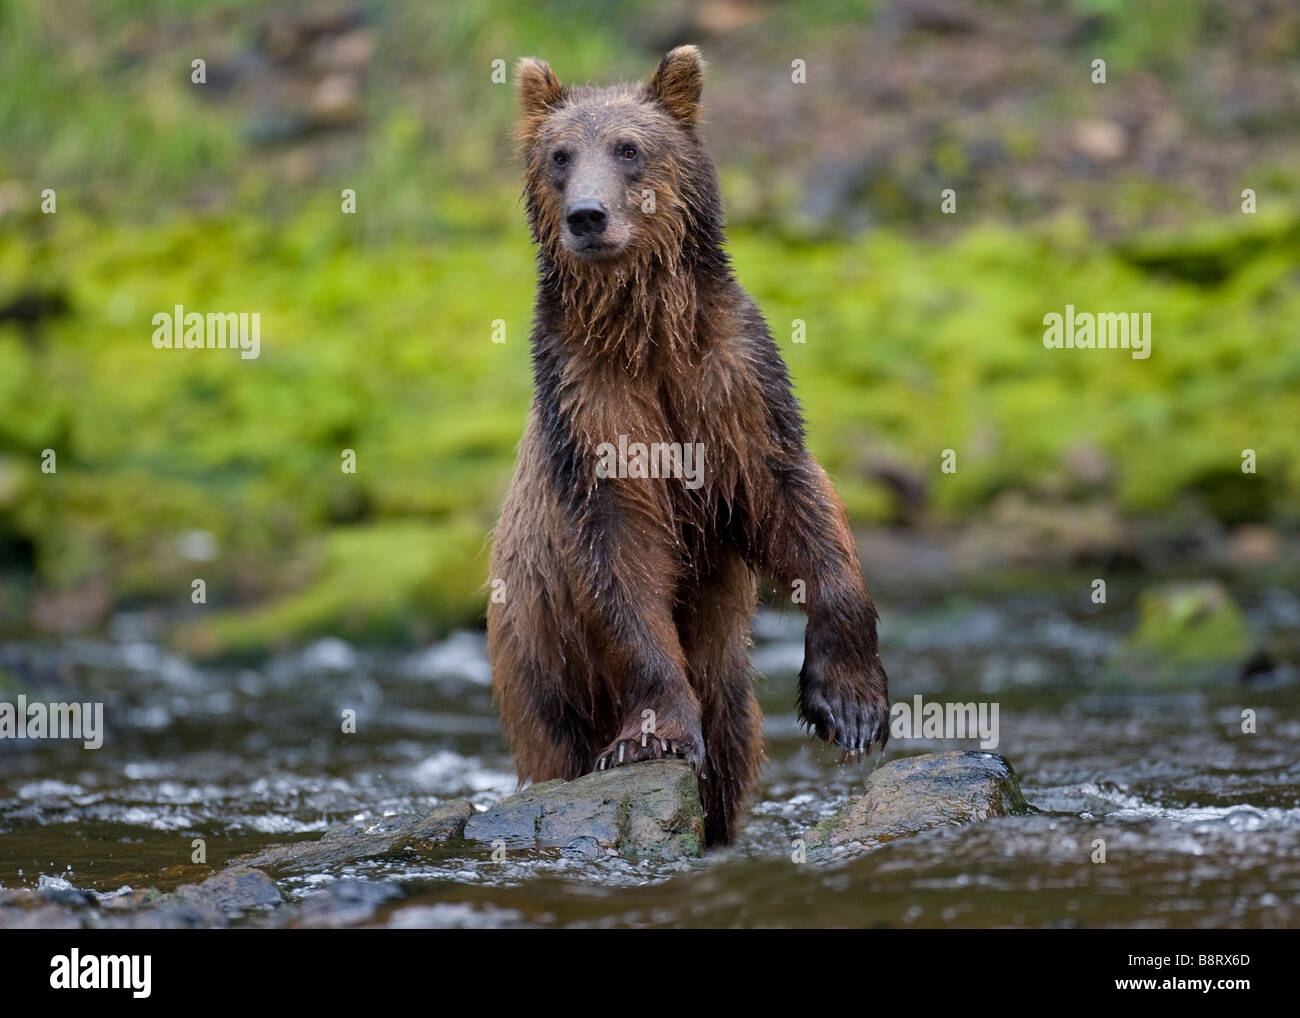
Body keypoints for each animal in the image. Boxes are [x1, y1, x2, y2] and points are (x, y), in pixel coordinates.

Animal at [488, 43, 894, 847]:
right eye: (559, 155)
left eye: (628, 148)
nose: (588, 216)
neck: (646, 333)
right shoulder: (592, 409)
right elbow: (621, 556)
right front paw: (652, 734)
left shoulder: (733, 385)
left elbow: (793, 503)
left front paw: (852, 704)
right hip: (539, 673)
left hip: (728, 687)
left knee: (733, 756)